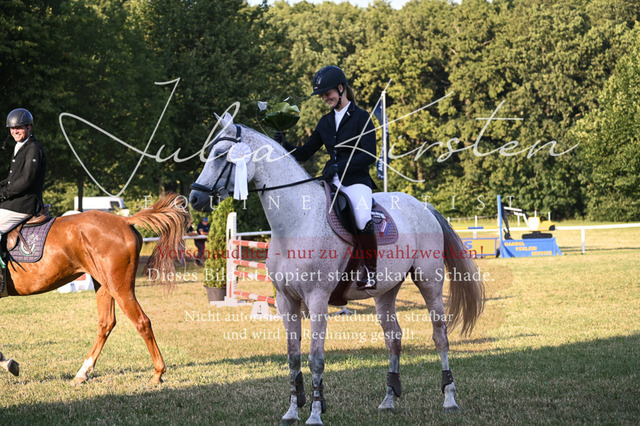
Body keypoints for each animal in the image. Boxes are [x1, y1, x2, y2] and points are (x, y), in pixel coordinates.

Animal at [0, 193, 189, 384]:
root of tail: (125, 220)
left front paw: (8, 364)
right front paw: (8, 363)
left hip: (119, 287)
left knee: (141, 321)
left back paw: (157, 373)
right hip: (104, 284)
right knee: (106, 323)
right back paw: (83, 372)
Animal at [189, 114, 485, 425]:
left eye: (221, 155)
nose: (195, 198)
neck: (297, 221)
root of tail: (423, 206)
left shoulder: (317, 299)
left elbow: (315, 358)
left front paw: (315, 413)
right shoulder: (286, 300)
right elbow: (293, 357)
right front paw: (292, 411)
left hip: (429, 282)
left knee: (440, 336)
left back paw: (449, 399)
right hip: (385, 291)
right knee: (393, 338)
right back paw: (388, 400)